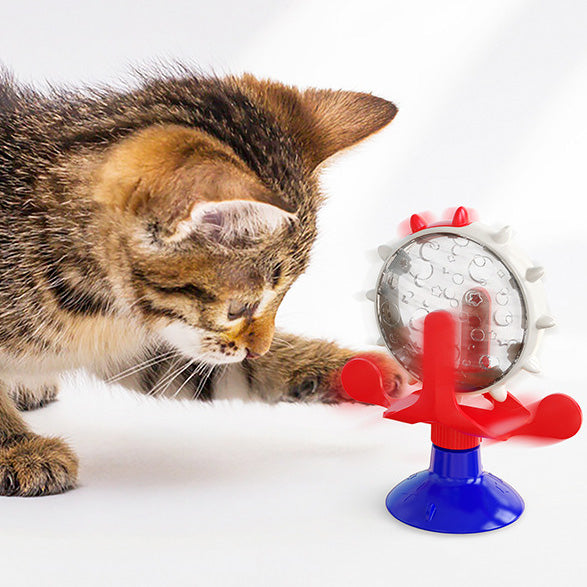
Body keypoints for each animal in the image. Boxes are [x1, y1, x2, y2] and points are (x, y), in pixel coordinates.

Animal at [0, 66, 400, 496]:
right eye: (240, 307)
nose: (259, 348)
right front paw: (17, 448)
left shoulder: (160, 340)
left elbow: (218, 372)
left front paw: (353, 368)